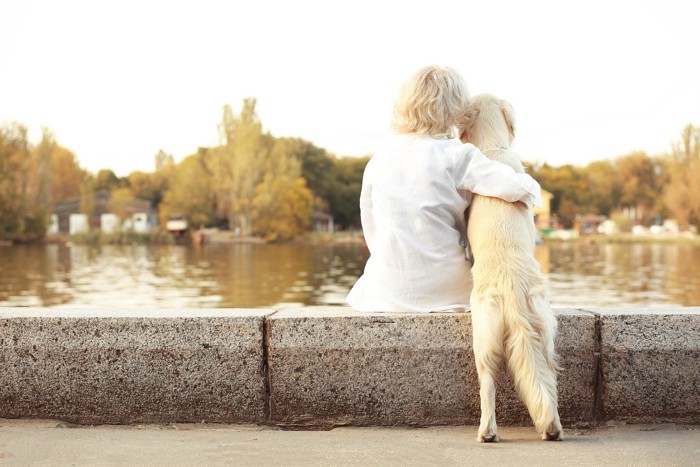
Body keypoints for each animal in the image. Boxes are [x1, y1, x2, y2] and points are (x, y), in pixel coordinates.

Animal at [460, 94, 564, 442]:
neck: (493, 148)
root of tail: (512, 288)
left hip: (483, 339)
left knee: (487, 386)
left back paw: (487, 432)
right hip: (542, 334)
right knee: (546, 381)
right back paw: (551, 428)